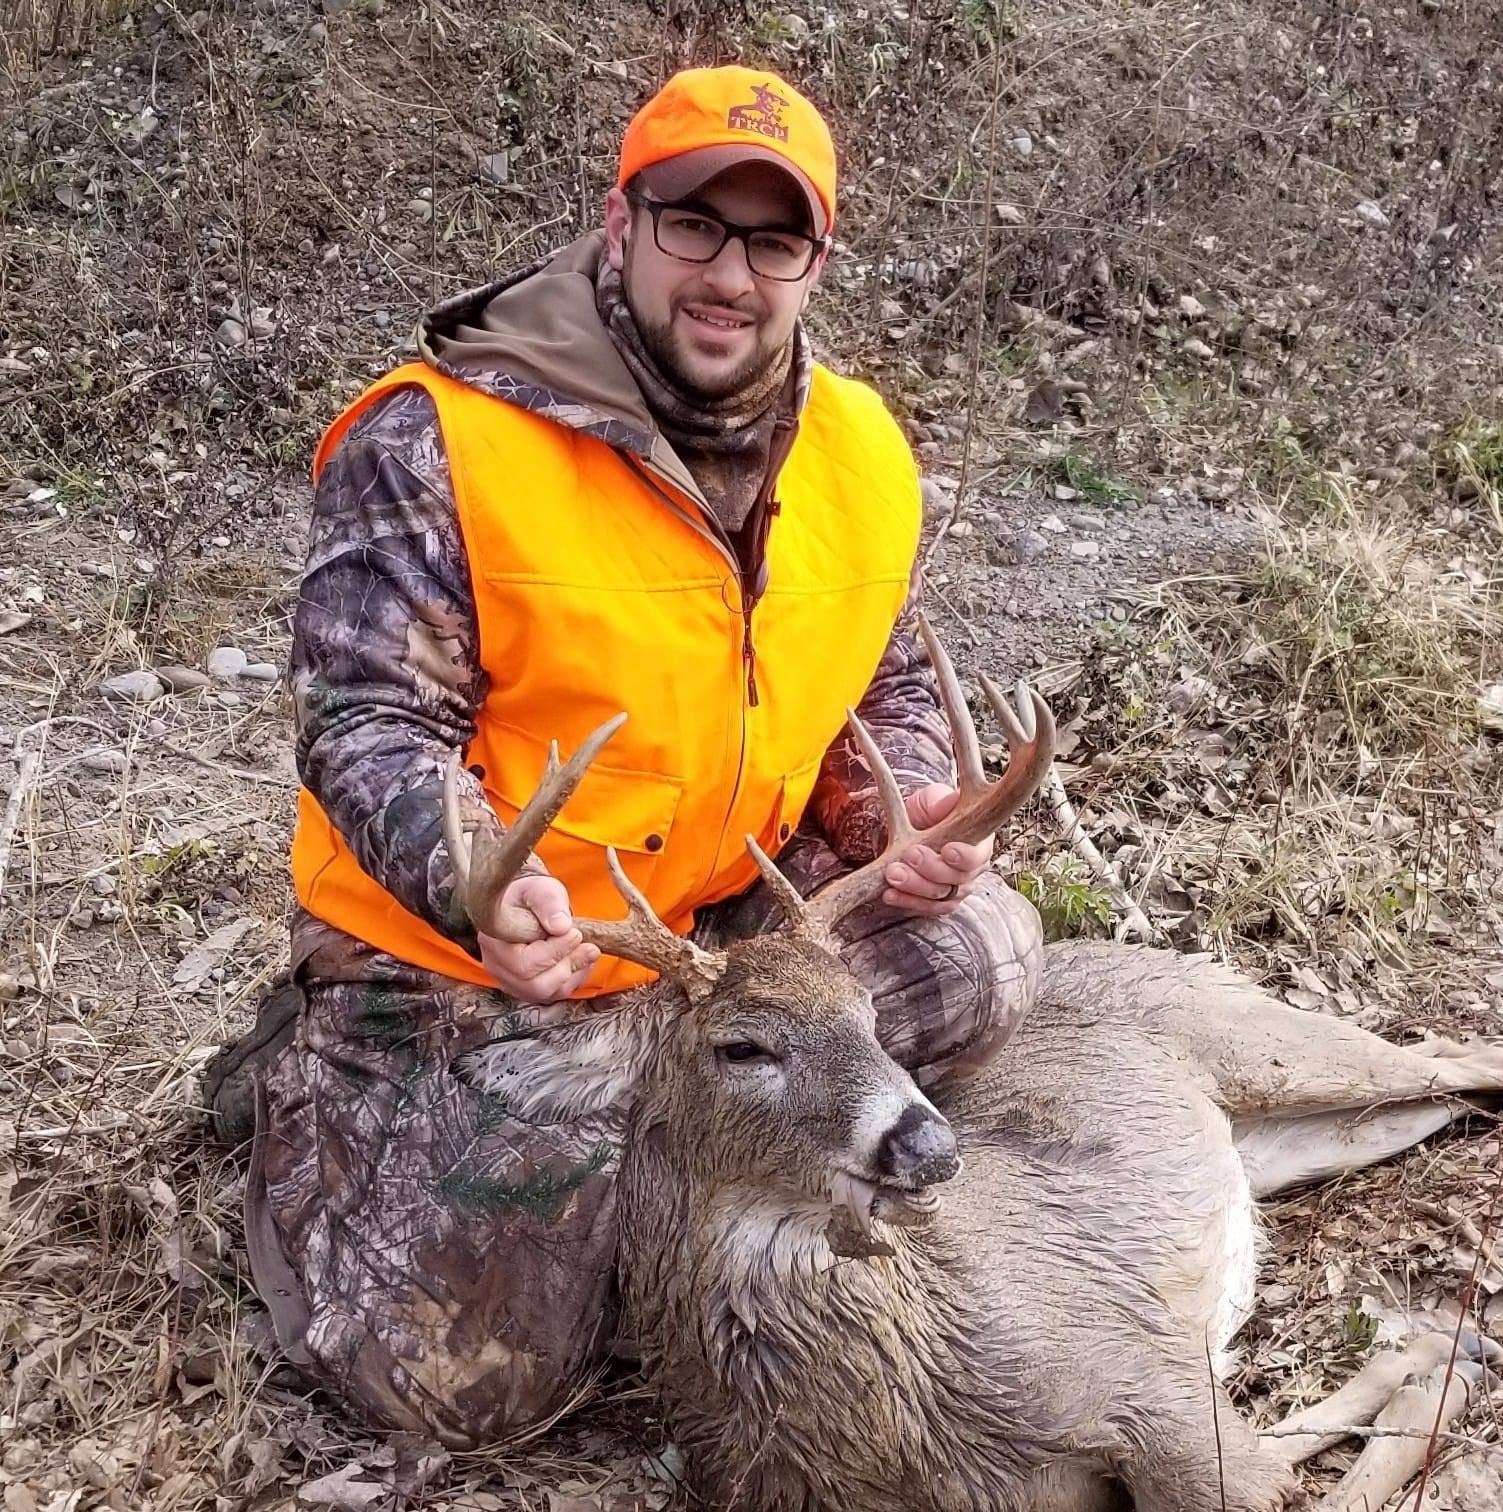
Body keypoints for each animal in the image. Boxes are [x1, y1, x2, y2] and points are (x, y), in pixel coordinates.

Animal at [442, 620, 1503, 1512]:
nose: (925, 1141)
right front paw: (1428, 1353)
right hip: (1292, 1138)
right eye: (741, 1045)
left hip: (1260, 1044)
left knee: (1456, 1051)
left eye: (869, 1013)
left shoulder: (1147, 1382)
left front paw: (1428, 1370)